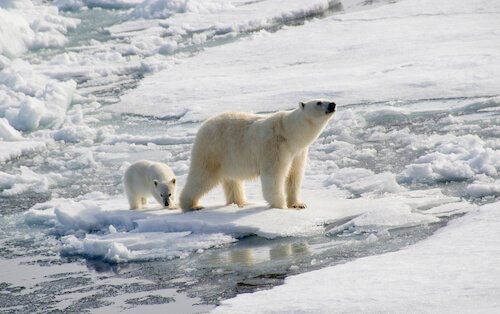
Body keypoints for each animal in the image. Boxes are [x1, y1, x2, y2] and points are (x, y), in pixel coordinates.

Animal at [180, 98, 336, 211]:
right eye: (319, 102)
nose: (333, 104)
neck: (289, 133)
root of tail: (203, 126)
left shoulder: (298, 152)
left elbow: (294, 176)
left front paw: (298, 204)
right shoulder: (275, 148)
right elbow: (273, 177)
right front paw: (281, 206)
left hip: (229, 157)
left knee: (232, 180)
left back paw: (241, 202)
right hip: (212, 150)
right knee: (202, 176)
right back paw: (192, 205)